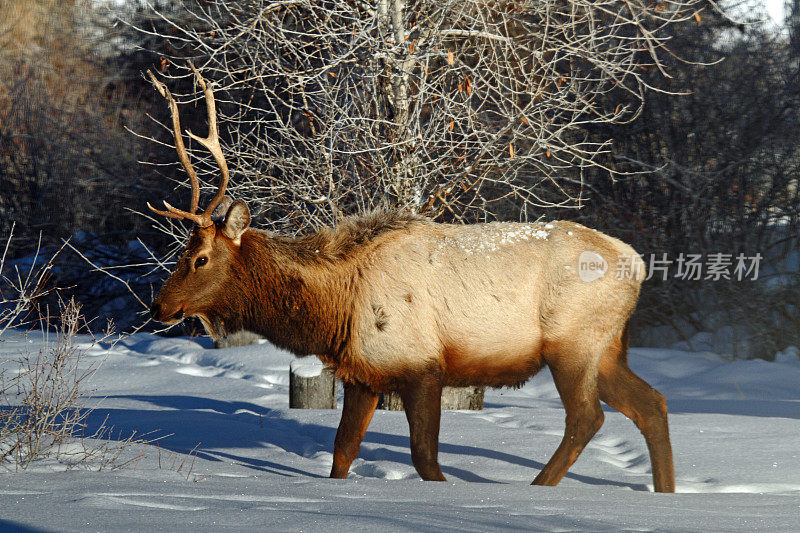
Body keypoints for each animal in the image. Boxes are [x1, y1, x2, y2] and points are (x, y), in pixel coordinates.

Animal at [145, 64, 676, 492]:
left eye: (200, 258)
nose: (159, 305)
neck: (333, 309)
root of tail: (636, 263)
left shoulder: (423, 365)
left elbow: (425, 460)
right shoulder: (365, 373)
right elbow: (342, 453)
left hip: (573, 341)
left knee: (588, 417)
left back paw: (537, 489)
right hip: (607, 347)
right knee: (651, 403)